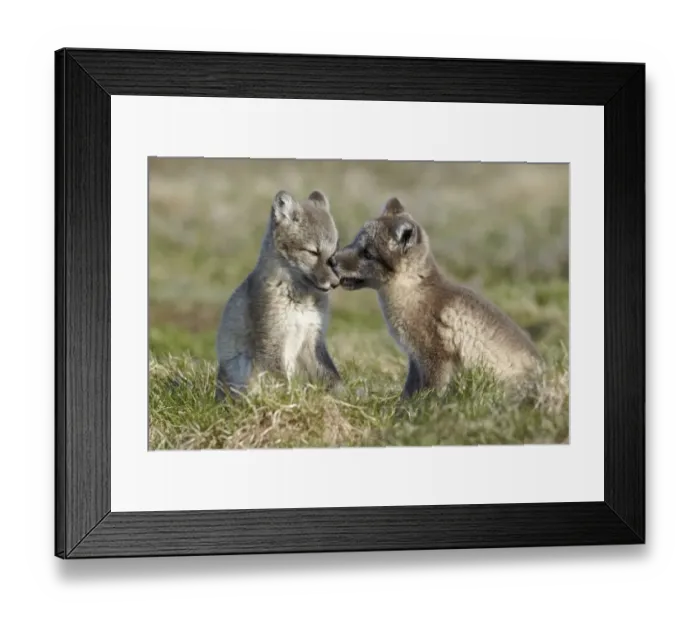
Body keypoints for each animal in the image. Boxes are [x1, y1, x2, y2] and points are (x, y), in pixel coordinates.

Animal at [215, 189, 343, 401]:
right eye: (313, 252)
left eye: (334, 253)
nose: (335, 283)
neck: (301, 301)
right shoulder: (272, 338)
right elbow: (283, 385)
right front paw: (291, 402)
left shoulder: (313, 338)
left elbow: (333, 378)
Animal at [333, 197, 543, 399]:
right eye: (355, 242)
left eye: (368, 254)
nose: (331, 260)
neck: (412, 293)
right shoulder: (415, 358)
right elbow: (408, 392)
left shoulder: (435, 356)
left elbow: (431, 393)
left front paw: (426, 409)